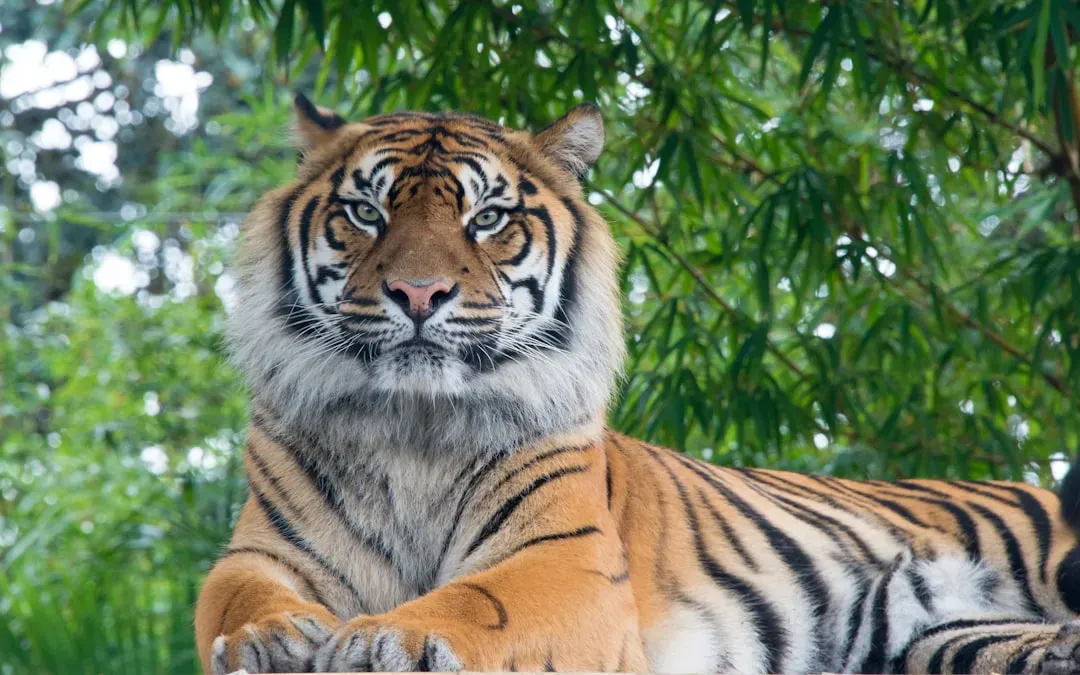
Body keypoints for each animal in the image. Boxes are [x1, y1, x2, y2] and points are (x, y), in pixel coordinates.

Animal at [194, 93, 1080, 675]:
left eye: (487, 218)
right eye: (367, 213)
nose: (418, 293)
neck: (414, 424)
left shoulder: (563, 558)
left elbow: (477, 599)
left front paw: (390, 639)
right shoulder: (260, 551)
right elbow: (235, 598)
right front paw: (272, 640)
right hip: (946, 640)